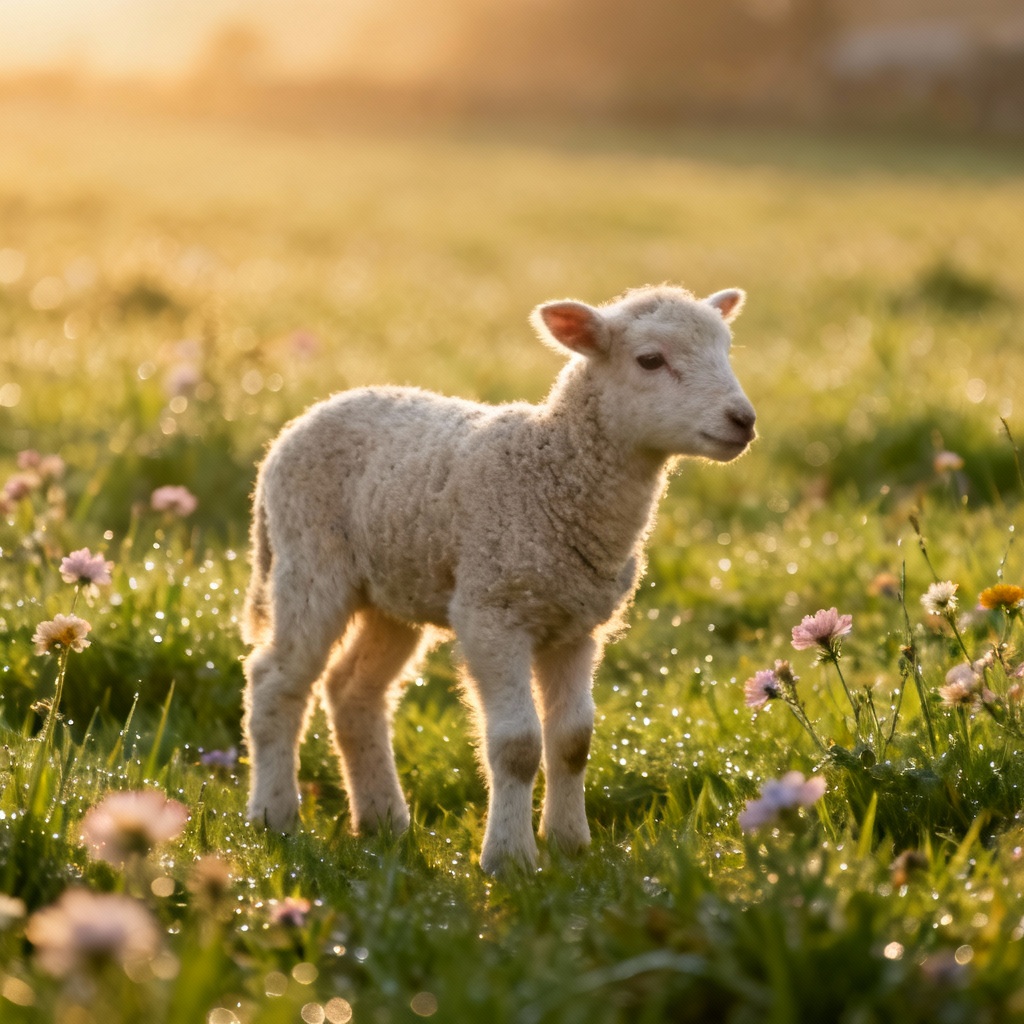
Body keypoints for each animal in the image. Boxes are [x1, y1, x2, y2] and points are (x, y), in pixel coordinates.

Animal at [242, 284, 756, 874]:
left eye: (726, 348)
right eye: (650, 360)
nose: (744, 420)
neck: (552, 472)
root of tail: (300, 422)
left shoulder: (576, 625)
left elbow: (573, 740)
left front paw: (569, 844)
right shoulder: (491, 613)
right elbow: (517, 745)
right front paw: (509, 859)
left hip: (393, 590)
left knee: (353, 691)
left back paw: (383, 821)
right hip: (309, 561)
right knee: (276, 681)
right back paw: (274, 816)